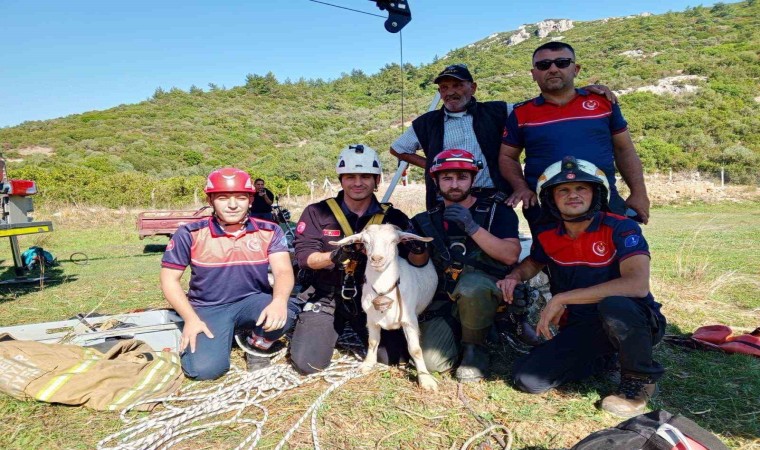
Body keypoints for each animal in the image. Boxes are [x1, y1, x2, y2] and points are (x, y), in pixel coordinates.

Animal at [328, 225, 440, 390]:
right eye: (365, 242)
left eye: (394, 241)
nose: (376, 259)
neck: (384, 290)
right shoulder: (371, 320)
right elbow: (373, 342)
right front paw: (367, 364)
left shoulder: (409, 321)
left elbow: (415, 350)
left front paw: (426, 380)